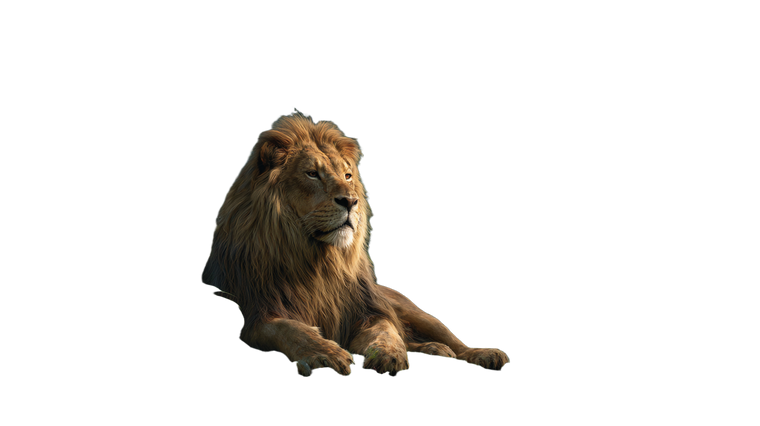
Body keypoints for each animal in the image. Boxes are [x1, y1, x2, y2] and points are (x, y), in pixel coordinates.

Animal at [199, 105, 511, 379]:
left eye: (347, 175)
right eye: (312, 173)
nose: (351, 201)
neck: (317, 263)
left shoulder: (367, 310)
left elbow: (386, 331)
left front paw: (389, 354)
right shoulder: (259, 310)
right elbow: (291, 329)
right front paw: (327, 353)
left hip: (412, 310)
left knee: (450, 339)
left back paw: (481, 353)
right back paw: (436, 349)